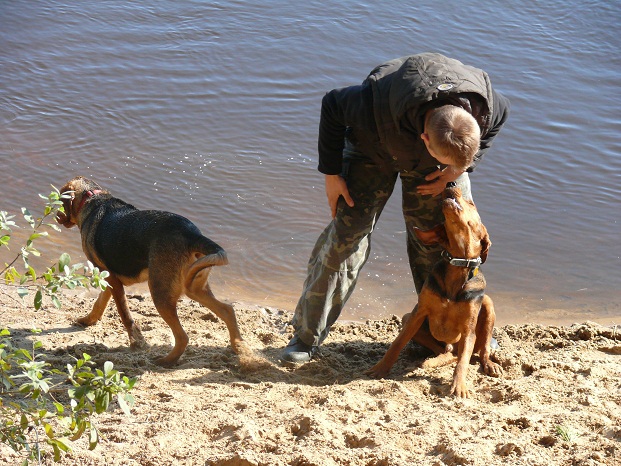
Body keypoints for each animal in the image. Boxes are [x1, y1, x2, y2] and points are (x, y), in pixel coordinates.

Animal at [56, 177, 242, 366]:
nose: (57, 216)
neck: (92, 198)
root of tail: (192, 234)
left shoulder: (112, 279)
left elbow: (124, 314)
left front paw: (137, 342)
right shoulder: (108, 277)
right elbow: (100, 303)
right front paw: (88, 321)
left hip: (161, 293)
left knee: (183, 337)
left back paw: (166, 361)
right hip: (195, 287)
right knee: (228, 310)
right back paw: (240, 349)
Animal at [366, 186, 502, 396]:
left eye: (471, 203)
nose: (451, 184)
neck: (457, 265)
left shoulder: (468, 329)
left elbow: (463, 362)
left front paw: (459, 386)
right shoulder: (417, 313)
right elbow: (397, 343)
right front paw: (381, 368)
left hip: (487, 305)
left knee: (477, 351)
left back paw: (489, 364)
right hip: (410, 320)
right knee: (448, 353)